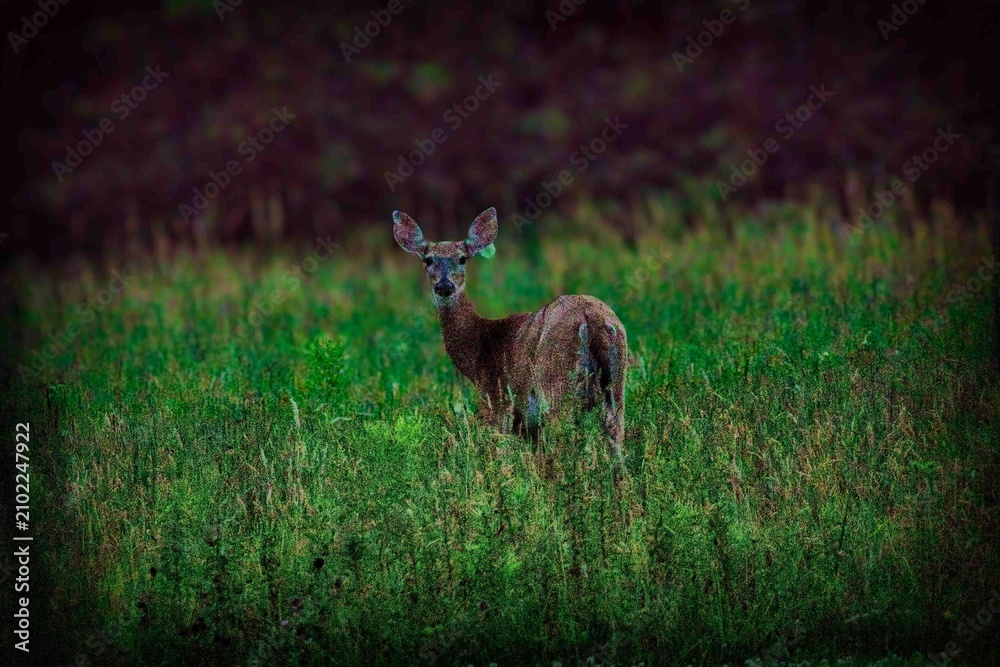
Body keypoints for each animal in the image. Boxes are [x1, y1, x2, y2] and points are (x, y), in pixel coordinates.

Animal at [392, 207, 628, 455]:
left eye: (462, 258)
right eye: (428, 260)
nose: (445, 286)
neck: (478, 350)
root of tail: (591, 317)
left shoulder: (496, 398)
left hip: (555, 380)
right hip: (616, 379)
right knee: (616, 434)